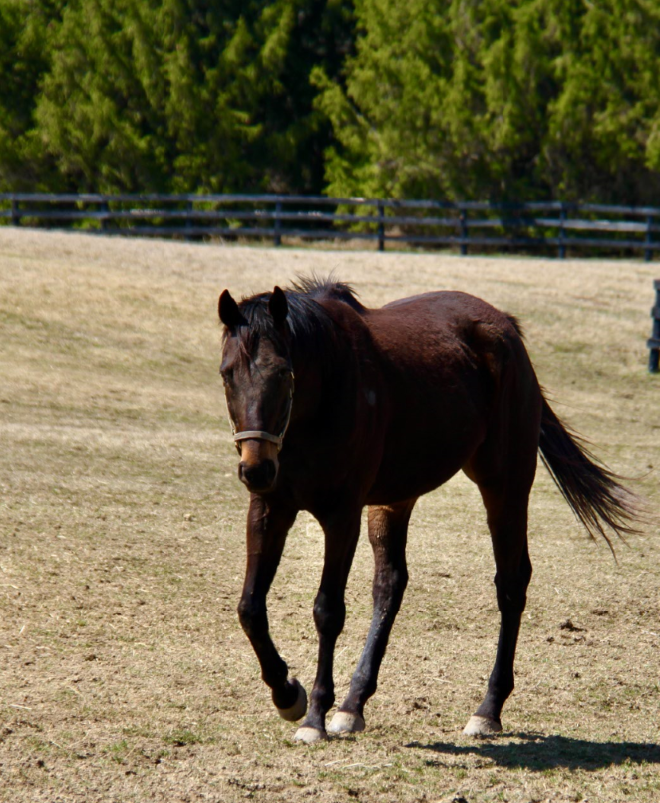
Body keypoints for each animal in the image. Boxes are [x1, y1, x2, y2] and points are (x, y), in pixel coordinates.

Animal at [217, 277, 636, 744]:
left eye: (283, 373)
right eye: (227, 373)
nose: (255, 468)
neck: (323, 394)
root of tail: (505, 327)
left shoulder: (341, 515)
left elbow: (328, 611)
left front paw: (314, 716)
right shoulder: (270, 508)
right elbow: (250, 608)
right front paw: (288, 694)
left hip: (504, 484)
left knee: (511, 582)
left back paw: (488, 710)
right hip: (394, 499)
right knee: (390, 585)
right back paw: (353, 705)